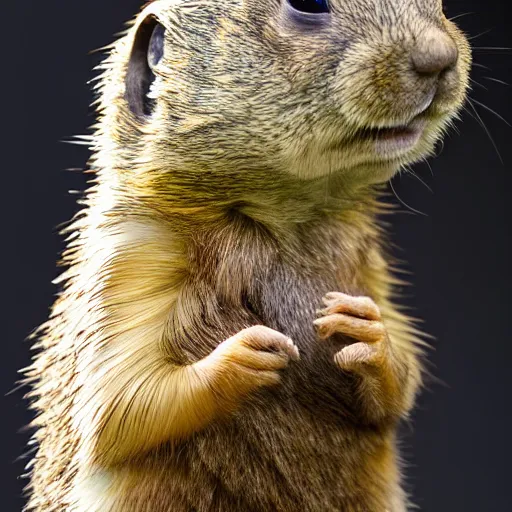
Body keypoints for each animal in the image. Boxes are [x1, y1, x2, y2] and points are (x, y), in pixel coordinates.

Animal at [25, 0, 472, 510]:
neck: (282, 222)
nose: (440, 57)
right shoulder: (128, 256)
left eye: (438, 5)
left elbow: (404, 372)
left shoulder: (369, 261)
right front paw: (250, 352)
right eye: (309, 5)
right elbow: (116, 402)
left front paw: (365, 330)